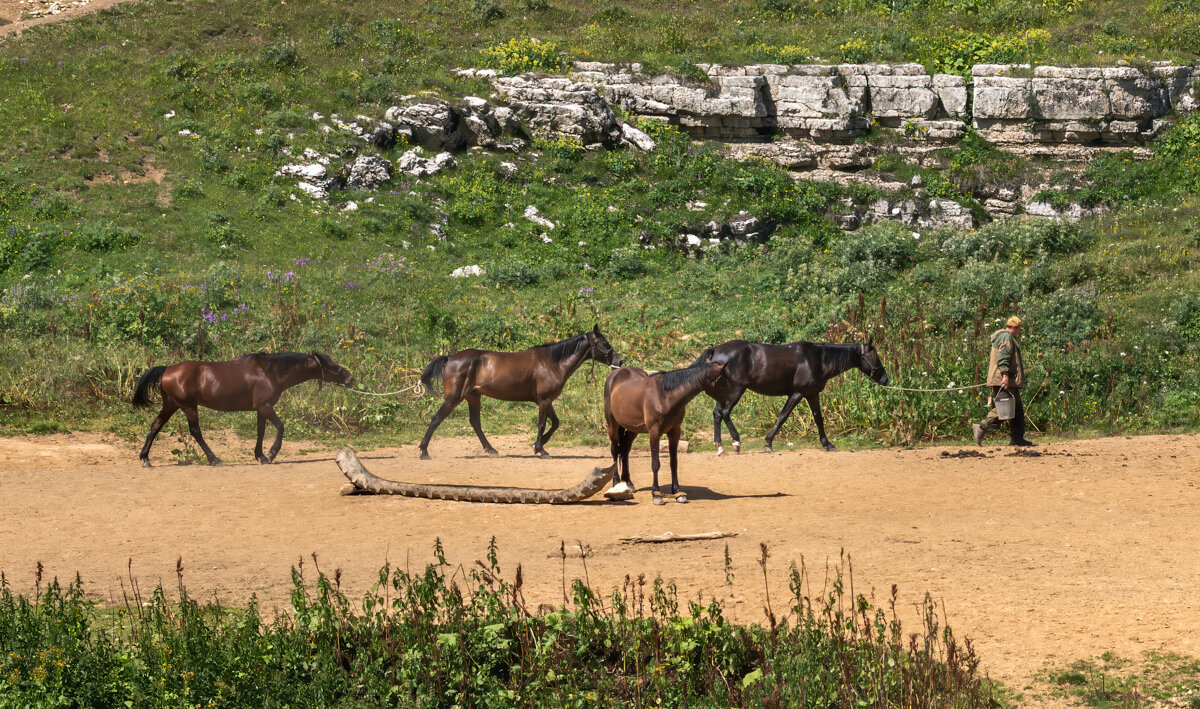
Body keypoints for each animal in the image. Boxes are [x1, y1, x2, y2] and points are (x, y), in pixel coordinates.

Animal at [135, 352, 355, 467]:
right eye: (332, 364)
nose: (350, 378)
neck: (270, 372)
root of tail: (167, 369)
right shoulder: (265, 406)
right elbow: (280, 426)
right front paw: (272, 453)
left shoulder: (260, 409)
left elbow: (261, 431)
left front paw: (261, 456)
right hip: (188, 406)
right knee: (195, 431)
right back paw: (214, 459)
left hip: (171, 405)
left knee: (155, 426)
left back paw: (145, 458)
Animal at [417, 326, 624, 460]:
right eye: (604, 342)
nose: (620, 361)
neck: (553, 362)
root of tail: (451, 358)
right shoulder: (544, 400)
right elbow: (542, 424)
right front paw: (540, 450)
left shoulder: (546, 401)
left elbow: (555, 423)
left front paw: (538, 445)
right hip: (455, 397)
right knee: (437, 418)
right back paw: (424, 451)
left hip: (473, 397)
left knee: (475, 422)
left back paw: (491, 450)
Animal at [604, 362, 724, 508]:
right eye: (723, 378)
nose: (724, 406)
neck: (665, 396)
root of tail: (616, 374)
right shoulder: (654, 433)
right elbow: (655, 464)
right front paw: (657, 494)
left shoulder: (675, 431)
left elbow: (674, 463)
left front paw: (678, 492)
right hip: (613, 425)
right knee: (615, 451)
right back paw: (616, 483)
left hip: (632, 429)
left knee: (625, 451)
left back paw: (628, 483)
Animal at [691, 338, 888, 455]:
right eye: (875, 356)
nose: (886, 379)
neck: (817, 359)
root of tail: (716, 351)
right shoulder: (798, 393)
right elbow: (782, 417)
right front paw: (768, 443)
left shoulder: (812, 394)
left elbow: (819, 419)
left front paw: (828, 444)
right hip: (735, 390)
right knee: (724, 413)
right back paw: (736, 442)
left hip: (726, 393)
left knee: (717, 413)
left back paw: (720, 447)